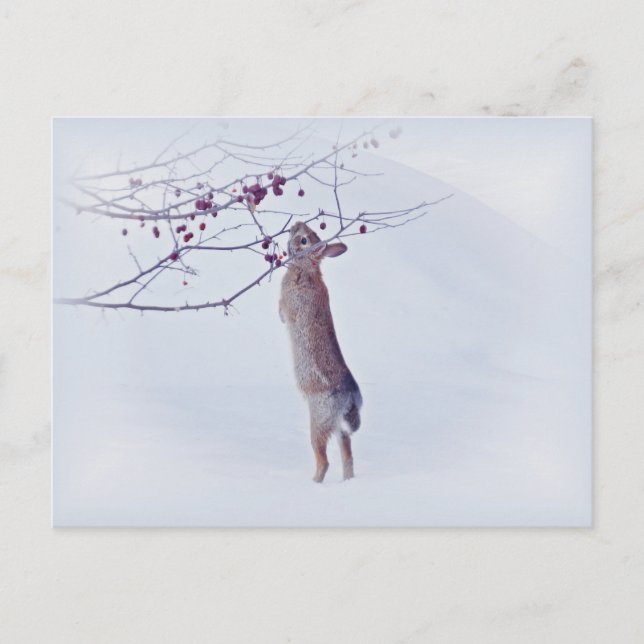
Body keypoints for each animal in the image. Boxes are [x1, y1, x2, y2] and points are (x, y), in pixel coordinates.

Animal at [279, 221, 362, 483]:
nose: (295, 224)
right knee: (348, 456)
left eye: (304, 240)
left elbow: (283, 310)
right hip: (338, 429)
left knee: (324, 460)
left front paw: (280, 317)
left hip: (318, 421)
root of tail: (350, 400)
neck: (306, 268)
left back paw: (314, 483)